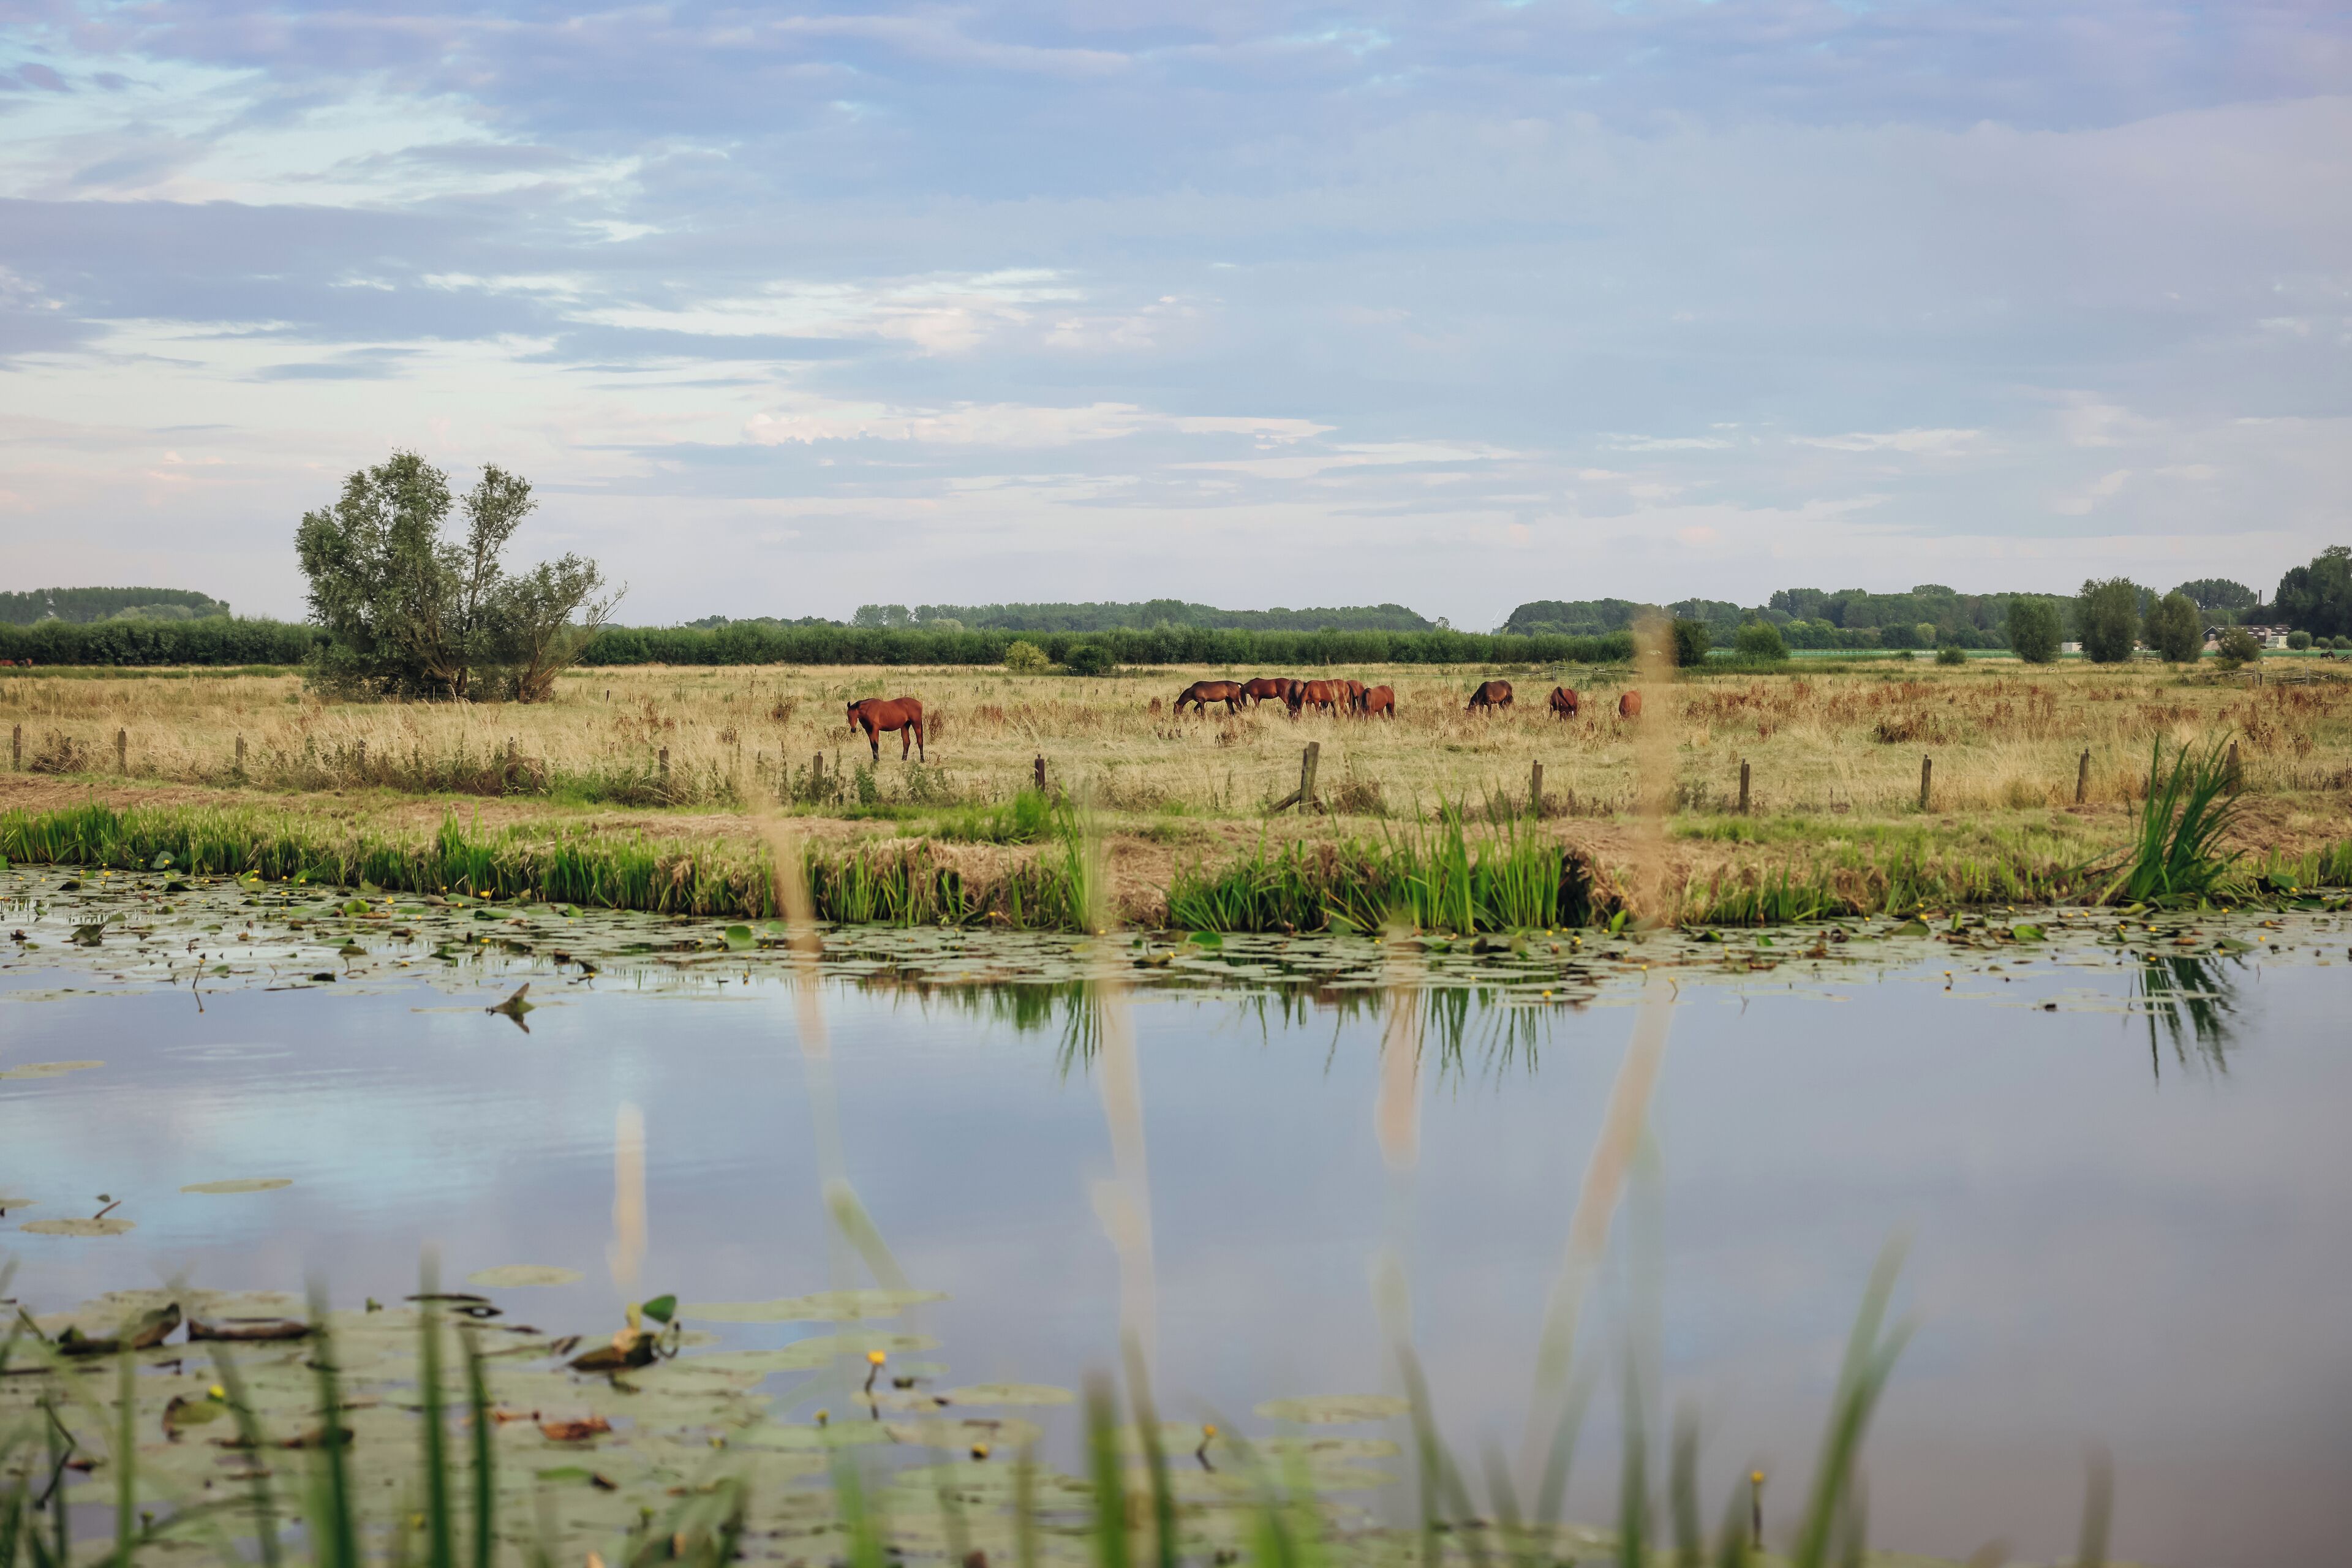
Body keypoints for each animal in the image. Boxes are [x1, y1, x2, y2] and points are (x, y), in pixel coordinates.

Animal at [847, 696, 927, 761]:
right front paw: (875, 760)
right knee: (906, 742)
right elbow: (872, 745)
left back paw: (922, 760)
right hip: (905, 726)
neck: (868, 709)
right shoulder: (868, 730)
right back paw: (903, 760)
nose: (853, 729)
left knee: (920, 741)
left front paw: (877, 760)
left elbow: (875, 745)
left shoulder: (875, 729)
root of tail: (919, 704)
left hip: (916, 724)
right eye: (848, 715)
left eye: (856, 715)